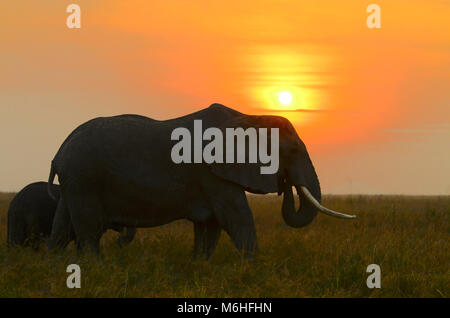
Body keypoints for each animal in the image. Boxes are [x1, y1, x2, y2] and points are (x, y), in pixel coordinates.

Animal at [46, 104, 356, 258]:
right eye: (291, 152)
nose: (285, 184)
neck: (248, 117)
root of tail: (60, 150)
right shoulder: (212, 173)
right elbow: (236, 217)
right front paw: (252, 267)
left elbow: (211, 225)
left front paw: (200, 266)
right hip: (84, 178)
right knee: (88, 229)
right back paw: (94, 267)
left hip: (75, 182)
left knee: (63, 225)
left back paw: (54, 267)